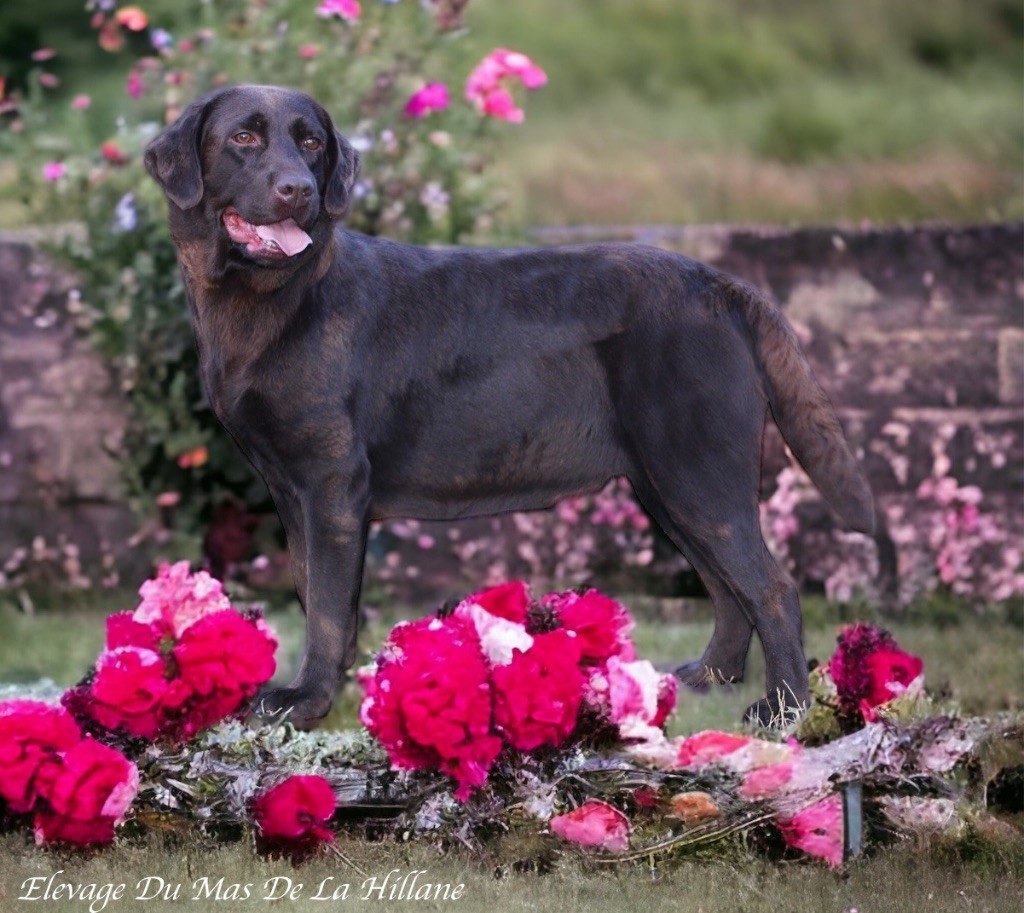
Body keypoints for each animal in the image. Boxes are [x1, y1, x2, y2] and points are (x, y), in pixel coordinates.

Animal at [144, 85, 872, 728]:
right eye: (243, 137)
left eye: (312, 143)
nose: (297, 190)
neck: (276, 297)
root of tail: (724, 286)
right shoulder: (292, 489)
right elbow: (318, 592)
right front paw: (341, 691)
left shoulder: (330, 483)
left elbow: (323, 603)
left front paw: (306, 699)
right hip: (666, 484)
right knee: (724, 584)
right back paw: (706, 678)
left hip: (697, 470)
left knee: (769, 587)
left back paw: (781, 708)